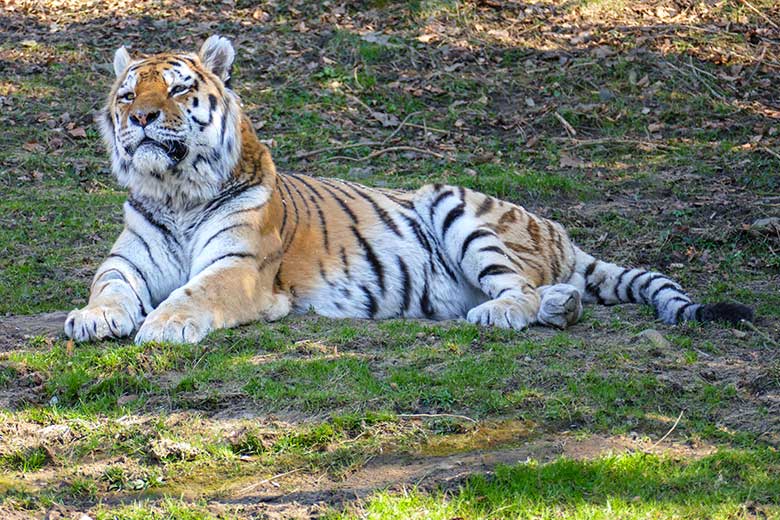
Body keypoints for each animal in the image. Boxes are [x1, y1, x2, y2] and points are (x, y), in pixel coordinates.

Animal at [64, 36, 752, 346]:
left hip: (455, 203)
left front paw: (164, 323)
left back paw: (502, 313)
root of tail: (557, 231)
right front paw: (93, 318)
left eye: (178, 89)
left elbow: (194, 290)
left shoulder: (238, 268)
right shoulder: (126, 261)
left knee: (522, 290)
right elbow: (109, 287)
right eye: (128, 94)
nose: (140, 118)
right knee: (559, 294)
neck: (175, 191)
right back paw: (560, 307)